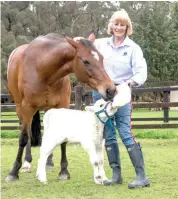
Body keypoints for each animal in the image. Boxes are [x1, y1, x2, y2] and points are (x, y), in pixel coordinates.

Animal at [5, 33, 116, 182]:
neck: (42, 70)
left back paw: (48, 162)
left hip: (49, 110)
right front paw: (13, 172)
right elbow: (23, 138)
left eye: (102, 58)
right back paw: (26, 163)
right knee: (27, 134)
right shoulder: (27, 108)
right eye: (86, 61)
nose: (111, 90)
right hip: (21, 110)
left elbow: (63, 141)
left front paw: (64, 171)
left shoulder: (62, 105)